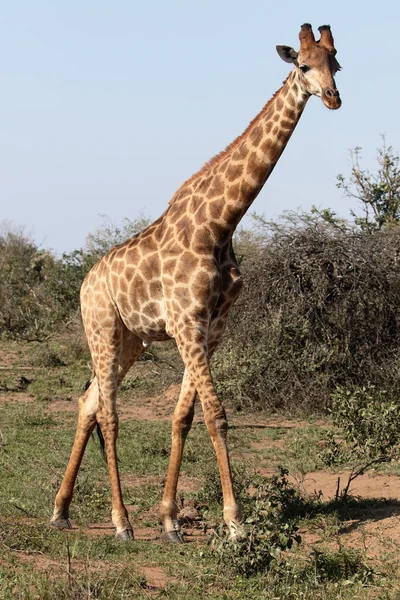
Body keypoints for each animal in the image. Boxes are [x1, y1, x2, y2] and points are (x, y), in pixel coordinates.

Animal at [50, 23, 340, 540]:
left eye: (337, 63)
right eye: (304, 65)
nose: (332, 97)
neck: (220, 224)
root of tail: (85, 282)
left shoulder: (212, 327)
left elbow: (184, 415)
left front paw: (169, 519)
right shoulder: (187, 323)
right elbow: (217, 416)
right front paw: (235, 522)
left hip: (132, 339)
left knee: (87, 401)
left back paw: (61, 510)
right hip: (100, 328)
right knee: (108, 411)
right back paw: (121, 522)